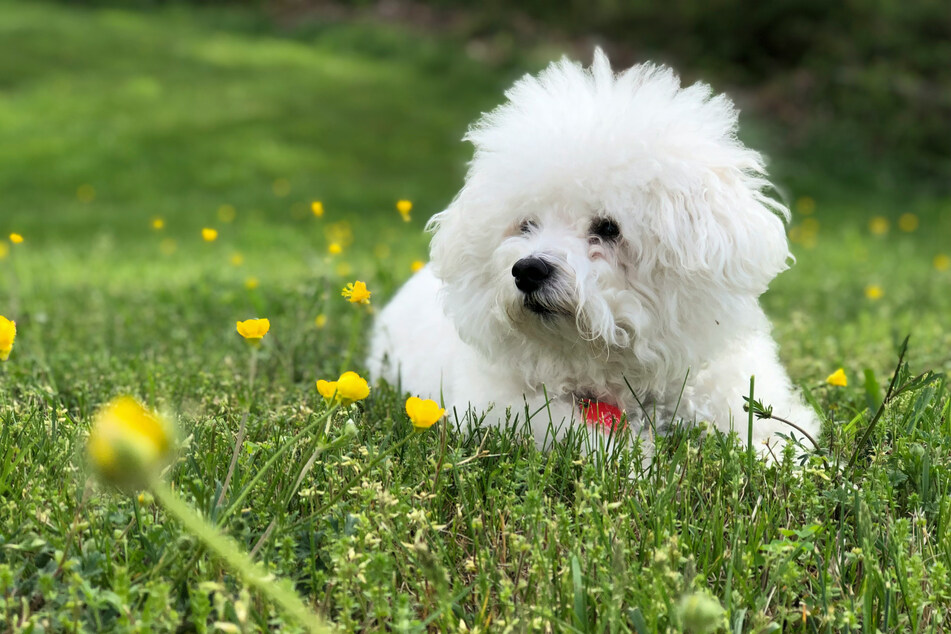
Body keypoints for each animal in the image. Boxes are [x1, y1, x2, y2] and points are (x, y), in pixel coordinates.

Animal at [368, 48, 820, 454]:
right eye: (526, 225)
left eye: (607, 229)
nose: (527, 270)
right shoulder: (503, 406)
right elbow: (575, 435)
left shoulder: (728, 383)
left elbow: (771, 430)